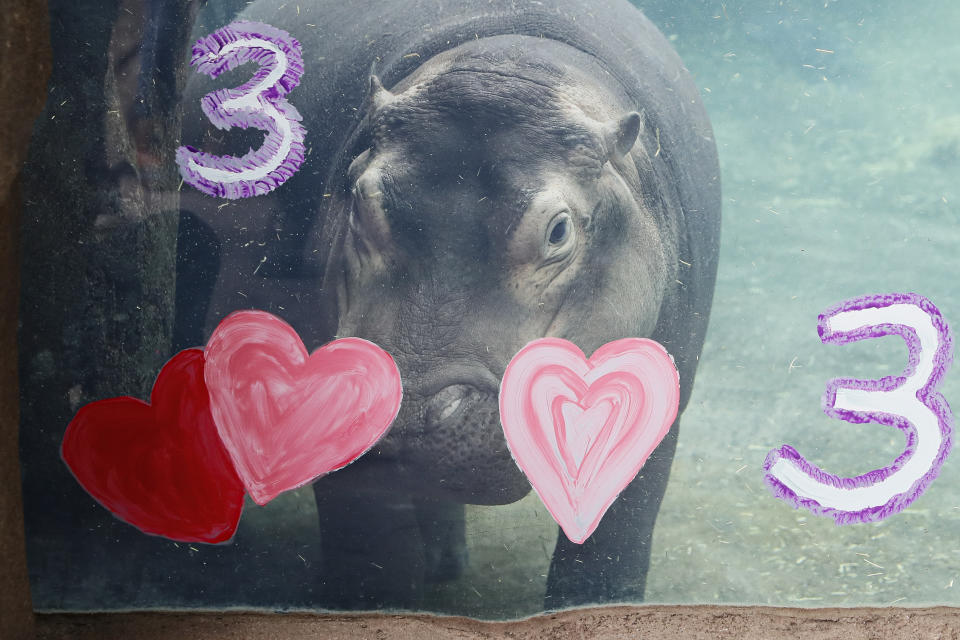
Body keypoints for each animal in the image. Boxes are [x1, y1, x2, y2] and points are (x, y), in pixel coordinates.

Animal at [178, 0, 720, 612]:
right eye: (358, 199)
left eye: (559, 230)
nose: (410, 412)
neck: (516, 67)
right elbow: (370, 556)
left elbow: (610, 550)